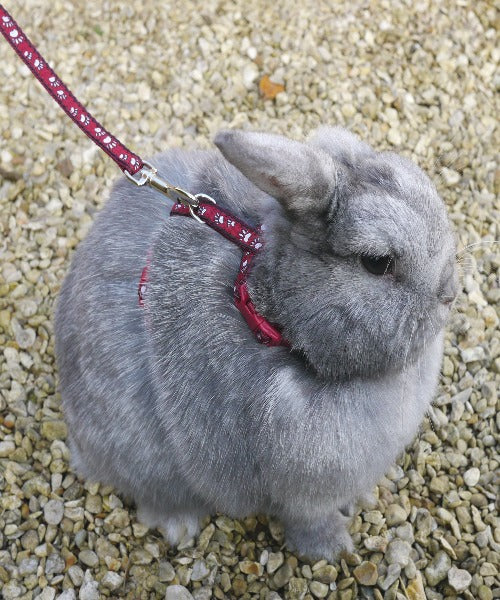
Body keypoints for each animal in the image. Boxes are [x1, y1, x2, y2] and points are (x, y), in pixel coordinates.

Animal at [53, 126, 458, 564]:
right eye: (377, 262)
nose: (449, 293)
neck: (275, 325)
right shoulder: (303, 494)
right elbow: (308, 519)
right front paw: (331, 550)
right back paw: (179, 525)